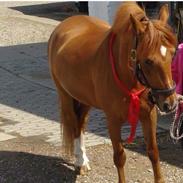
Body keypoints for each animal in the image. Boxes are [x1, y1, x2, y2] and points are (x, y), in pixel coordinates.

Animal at [48, 2, 177, 183]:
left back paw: (83, 160)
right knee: (74, 125)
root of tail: (64, 25)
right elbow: (120, 157)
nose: (169, 103)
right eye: (148, 61)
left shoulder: (148, 115)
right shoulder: (113, 120)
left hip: (85, 99)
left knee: (80, 124)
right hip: (66, 96)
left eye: (173, 54)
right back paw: (80, 162)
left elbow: (153, 152)